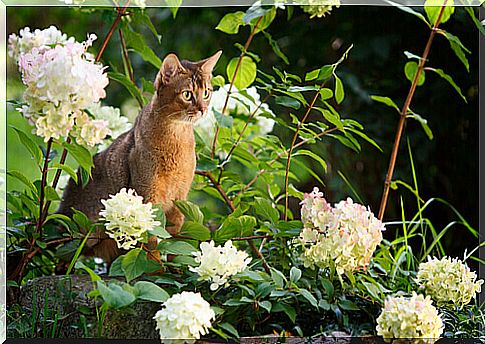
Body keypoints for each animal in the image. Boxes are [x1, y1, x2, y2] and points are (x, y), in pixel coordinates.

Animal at [57, 50, 222, 260]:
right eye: (187, 94)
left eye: (207, 93)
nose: (203, 109)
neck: (177, 137)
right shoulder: (147, 196)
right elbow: (150, 244)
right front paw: (155, 266)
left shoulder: (179, 199)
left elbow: (178, 243)